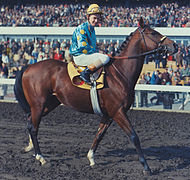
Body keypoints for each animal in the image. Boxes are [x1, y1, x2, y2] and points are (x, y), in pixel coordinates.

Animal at [14, 18, 177, 174]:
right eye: (153, 33)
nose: (174, 45)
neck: (119, 73)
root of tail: (28, 66)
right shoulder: (118, 112)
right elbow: (134, 136)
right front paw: (146, 167)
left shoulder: (108, 114)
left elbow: (99, 135)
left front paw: (91, 158)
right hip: (38, 104)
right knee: (33, 127)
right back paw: (41, 157)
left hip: (50, 103)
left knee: (30, 121)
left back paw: (30, 148)